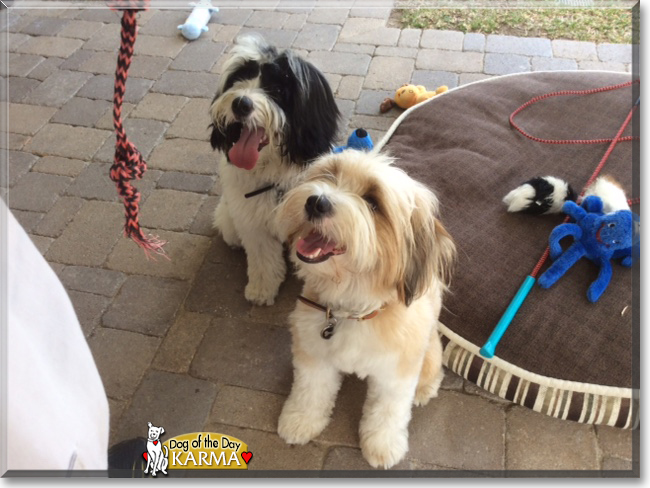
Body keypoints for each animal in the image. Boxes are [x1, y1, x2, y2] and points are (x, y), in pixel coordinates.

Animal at [209, 35, 342, 304]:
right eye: (239, 78)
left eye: (279, 90)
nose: (241, 103)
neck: (274, 174)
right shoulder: (254, 223)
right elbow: (263, 259)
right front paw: (262, 289)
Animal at [274, 150, 456, 468]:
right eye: (330, 175)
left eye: (373, 202)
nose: (316, 201)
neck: (354, 309)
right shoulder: (314, 353)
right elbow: (311, 390)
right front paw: (300, 420)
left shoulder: (396, 373)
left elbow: (388, 411)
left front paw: (383, 445)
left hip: (430, 350)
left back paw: (424, 390)